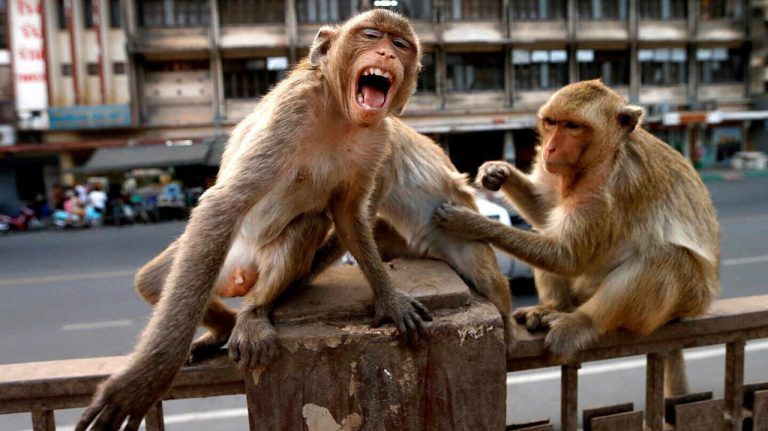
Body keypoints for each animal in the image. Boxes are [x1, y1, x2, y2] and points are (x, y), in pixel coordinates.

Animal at [75, 10, 433, 430]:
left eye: (401, 45)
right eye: (373, 35)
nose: (386, 53)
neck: (341, 114)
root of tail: (242, 273)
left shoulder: (378, 137)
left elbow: (347, 214)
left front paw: (389, 299)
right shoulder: (294, 109)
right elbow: (223, 203)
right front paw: (148, 375)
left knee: (306, 226)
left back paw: (250, 313)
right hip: (217, 256)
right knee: (154, 281)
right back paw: (222, 328)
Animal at [433, 80, 720, 396]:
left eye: (572, 126)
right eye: (551, 122)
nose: (550, 147)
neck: (602, 158)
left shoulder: (608, 190)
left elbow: (568, 257)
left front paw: (469, 222)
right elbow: (546, 214)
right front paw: (497, 172)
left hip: (685, 302)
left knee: (664, 258)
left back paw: (582, 321)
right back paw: (553, 307)